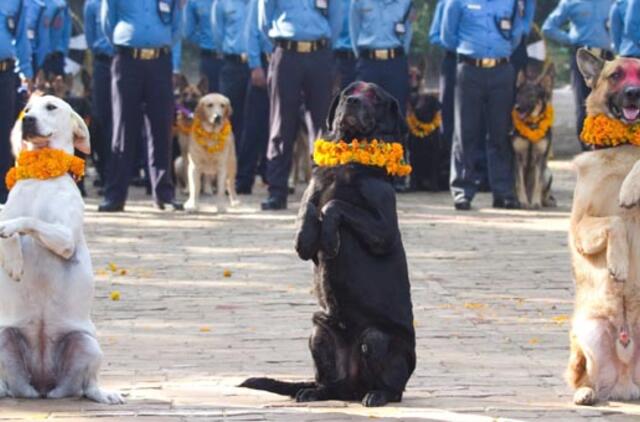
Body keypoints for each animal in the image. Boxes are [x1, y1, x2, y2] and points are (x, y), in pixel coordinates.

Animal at [0, 96, 122, 406]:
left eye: (51, 107)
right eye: (27, 110)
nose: (27, 121)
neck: (40, 179)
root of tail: (43, 387)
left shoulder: (64, 237)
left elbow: (29, 221)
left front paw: (12, 235)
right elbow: (10, 226)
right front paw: (14, 261)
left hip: (87, 343)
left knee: (87, 385)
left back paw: (104, 394)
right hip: (3, 337)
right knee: (8, 385)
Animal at [242, 81, 418, 408]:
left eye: (374, 96)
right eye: (350, 91)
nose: (352, 101)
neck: (349, 155)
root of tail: (353, 388)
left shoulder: (384, 230)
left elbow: (334, 205)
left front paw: (330, 237)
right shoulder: (314, 192)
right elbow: (310, 206)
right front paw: (308, 234)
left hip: (376, 338)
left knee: (392, 388)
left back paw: (377, 395)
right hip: (319, 332)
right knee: (329, 384)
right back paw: (313, 391)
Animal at [510, 64, 556, 209]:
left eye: (531, 96)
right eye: (519, 94)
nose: (517, 107)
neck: (531, 125)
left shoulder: (540, 158)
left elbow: (537, 184)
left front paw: (535, 202)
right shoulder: (517, 157)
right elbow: (519, 183)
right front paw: (523, 201)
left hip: (548, 173)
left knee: (545, 192)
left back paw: (546, 201)